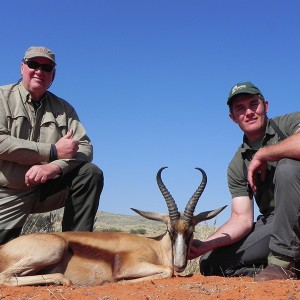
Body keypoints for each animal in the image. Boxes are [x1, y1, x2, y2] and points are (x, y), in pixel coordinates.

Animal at [0, 166, 225, 286]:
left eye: (191, 231)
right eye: (170, 231)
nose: (180, 264)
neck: (155, 246)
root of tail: (4, 248)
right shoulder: (130, 266)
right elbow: (166, 271)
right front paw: (118, 281)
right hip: (54, 249)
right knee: (5, 277)